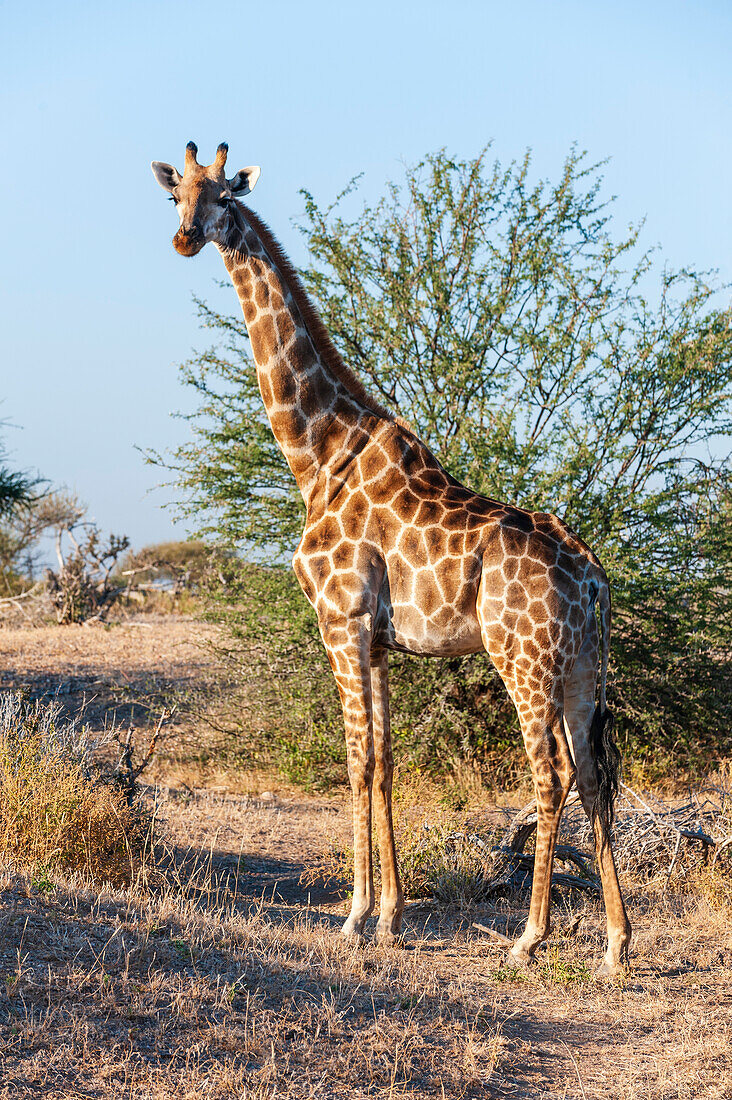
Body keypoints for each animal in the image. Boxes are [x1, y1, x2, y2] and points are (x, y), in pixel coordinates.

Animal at [153, 141, 629, 976]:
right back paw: (616, 944)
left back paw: (529, 937)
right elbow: (384, 760)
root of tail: (594, 575)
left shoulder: (338, 622)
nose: (185, 239)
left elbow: (355, 761)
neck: (317, 455)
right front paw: (391, 916)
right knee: (595, 772)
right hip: (580, 664)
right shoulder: (377, 640)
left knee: (553, 772)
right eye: (176, 194)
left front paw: (353, 916)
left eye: (224, 198)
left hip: (523, 656)